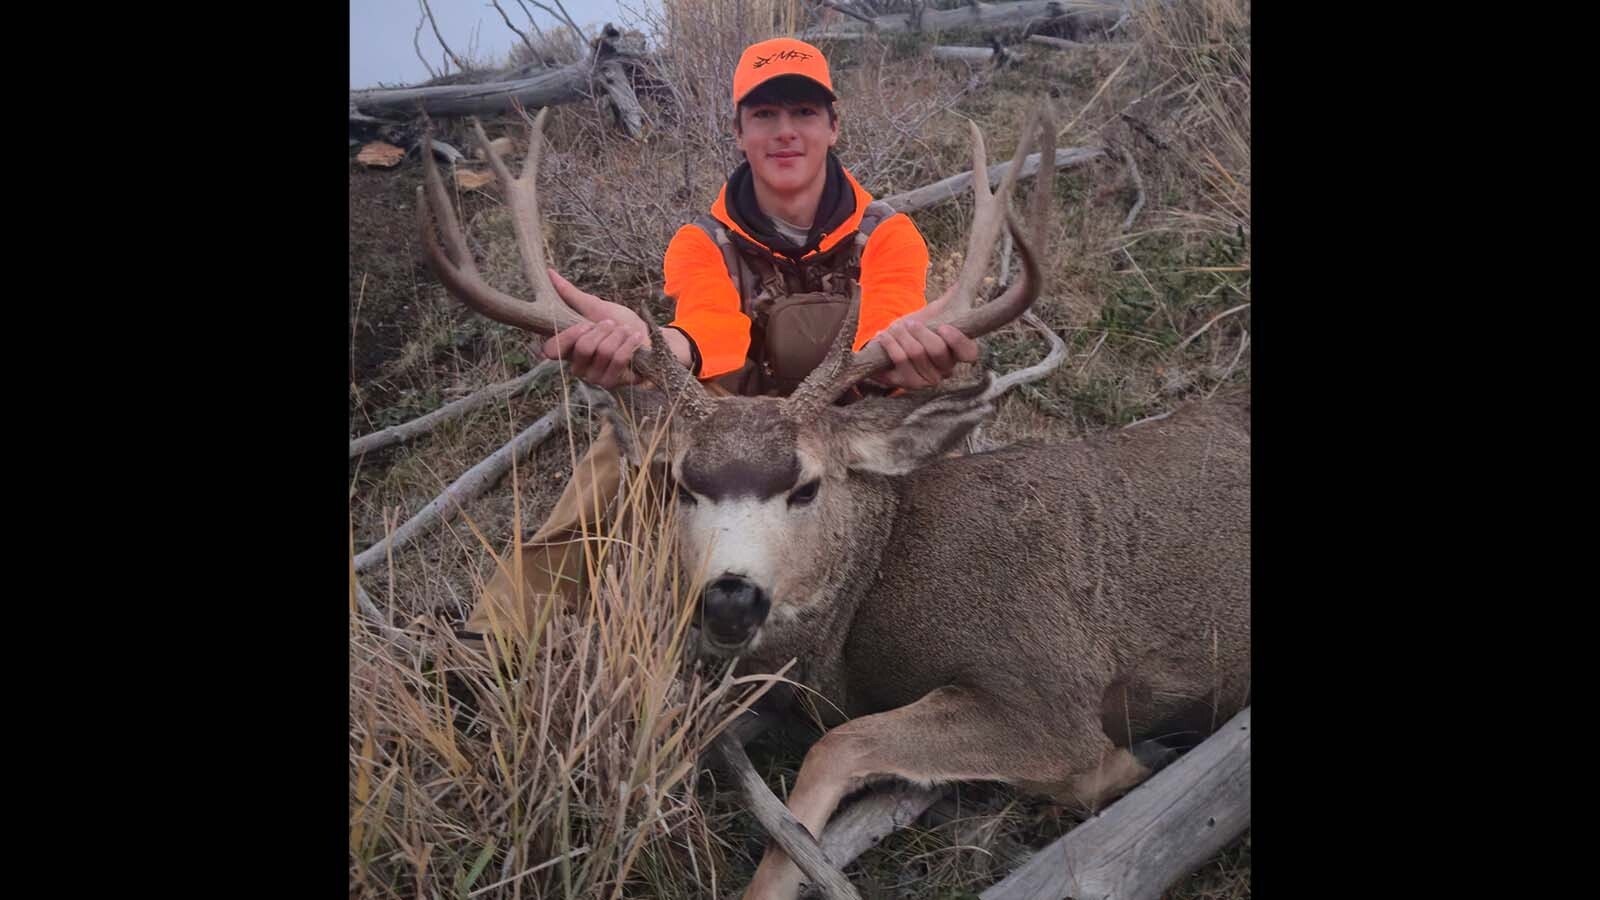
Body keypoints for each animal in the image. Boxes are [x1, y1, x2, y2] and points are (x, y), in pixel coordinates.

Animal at [415, 104, 1250, 900]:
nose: (731, 598)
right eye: (683, 482)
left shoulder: (1047, 688)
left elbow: (838, 747)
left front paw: (1138, 756)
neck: (874, 587)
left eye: (807, 485)